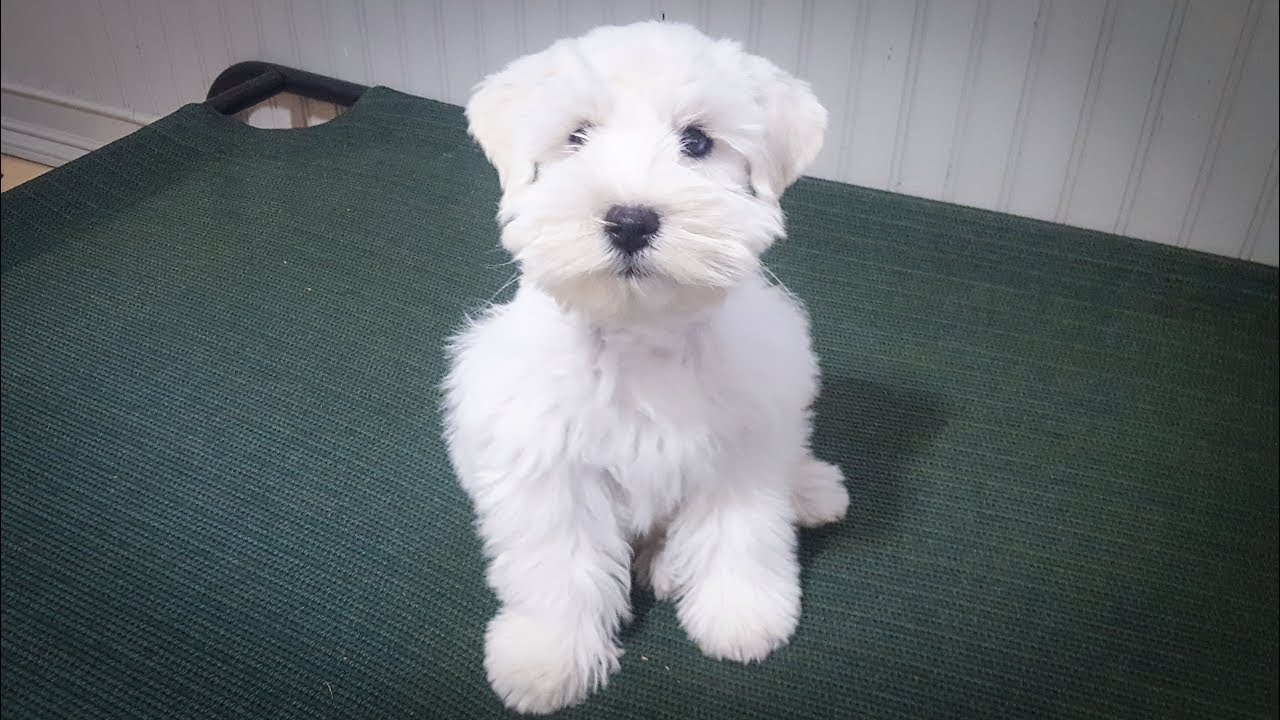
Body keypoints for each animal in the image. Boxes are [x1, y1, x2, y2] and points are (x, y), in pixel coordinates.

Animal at [440, 19, 849, 707]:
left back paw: (812, 490)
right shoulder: (549, 466)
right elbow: (558, 565)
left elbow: (738, 535)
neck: (643, 336)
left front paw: (740, 614)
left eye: (697, 141)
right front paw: (547, 656)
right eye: (576, 135)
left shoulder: (738, 452)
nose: (630, 220)